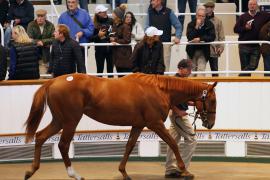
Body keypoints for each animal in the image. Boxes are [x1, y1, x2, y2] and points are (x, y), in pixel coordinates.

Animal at [23, 72, 217, 179]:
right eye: (213, 100)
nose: (210, 123)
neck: (160, 90)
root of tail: (52, 81)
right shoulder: (155, 124)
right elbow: (173, 144)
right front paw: (185, 170)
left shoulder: (138, 125)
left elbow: (129, 146)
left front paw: (123, 172)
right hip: (70, 121)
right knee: (63, 145)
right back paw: (74, 175)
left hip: (59, 121)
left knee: (40, 136)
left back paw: (31, 171)